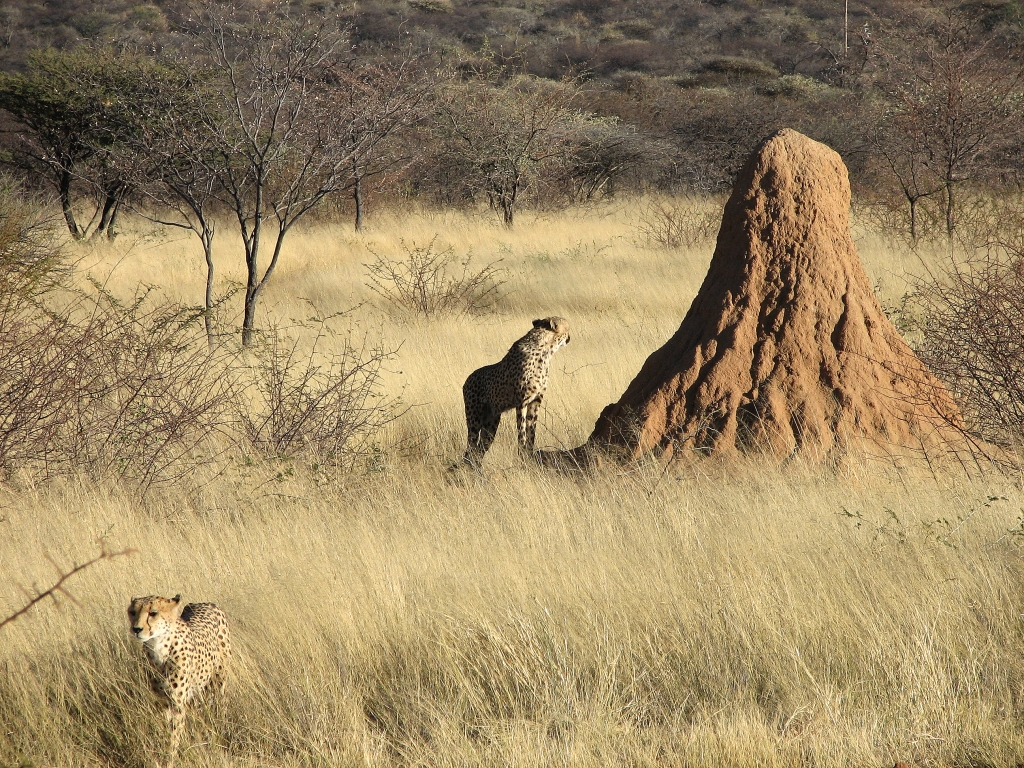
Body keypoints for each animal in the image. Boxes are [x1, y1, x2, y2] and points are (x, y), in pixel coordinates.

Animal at [128, 593, 232, 768]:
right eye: (132, 612)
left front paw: (169, 760)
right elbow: (164, 731)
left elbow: (173, 737)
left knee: (221, 706)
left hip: (219, 681)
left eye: (153, 613)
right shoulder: (161, 702)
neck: (159, 647)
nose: (136, 629)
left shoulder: (177, 703)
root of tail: (207, 603)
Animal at [462, 315, 573, 466]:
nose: (570, 338)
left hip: (491, 423)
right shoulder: (522, 402)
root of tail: (467, 379)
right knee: (470, 447)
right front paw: (522, 454)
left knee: (479, 450)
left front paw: (529, 453)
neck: (545, 351)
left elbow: (531, 431)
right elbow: (522, 432)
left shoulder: (536, 401)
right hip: (474, 418)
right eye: (567, 329)